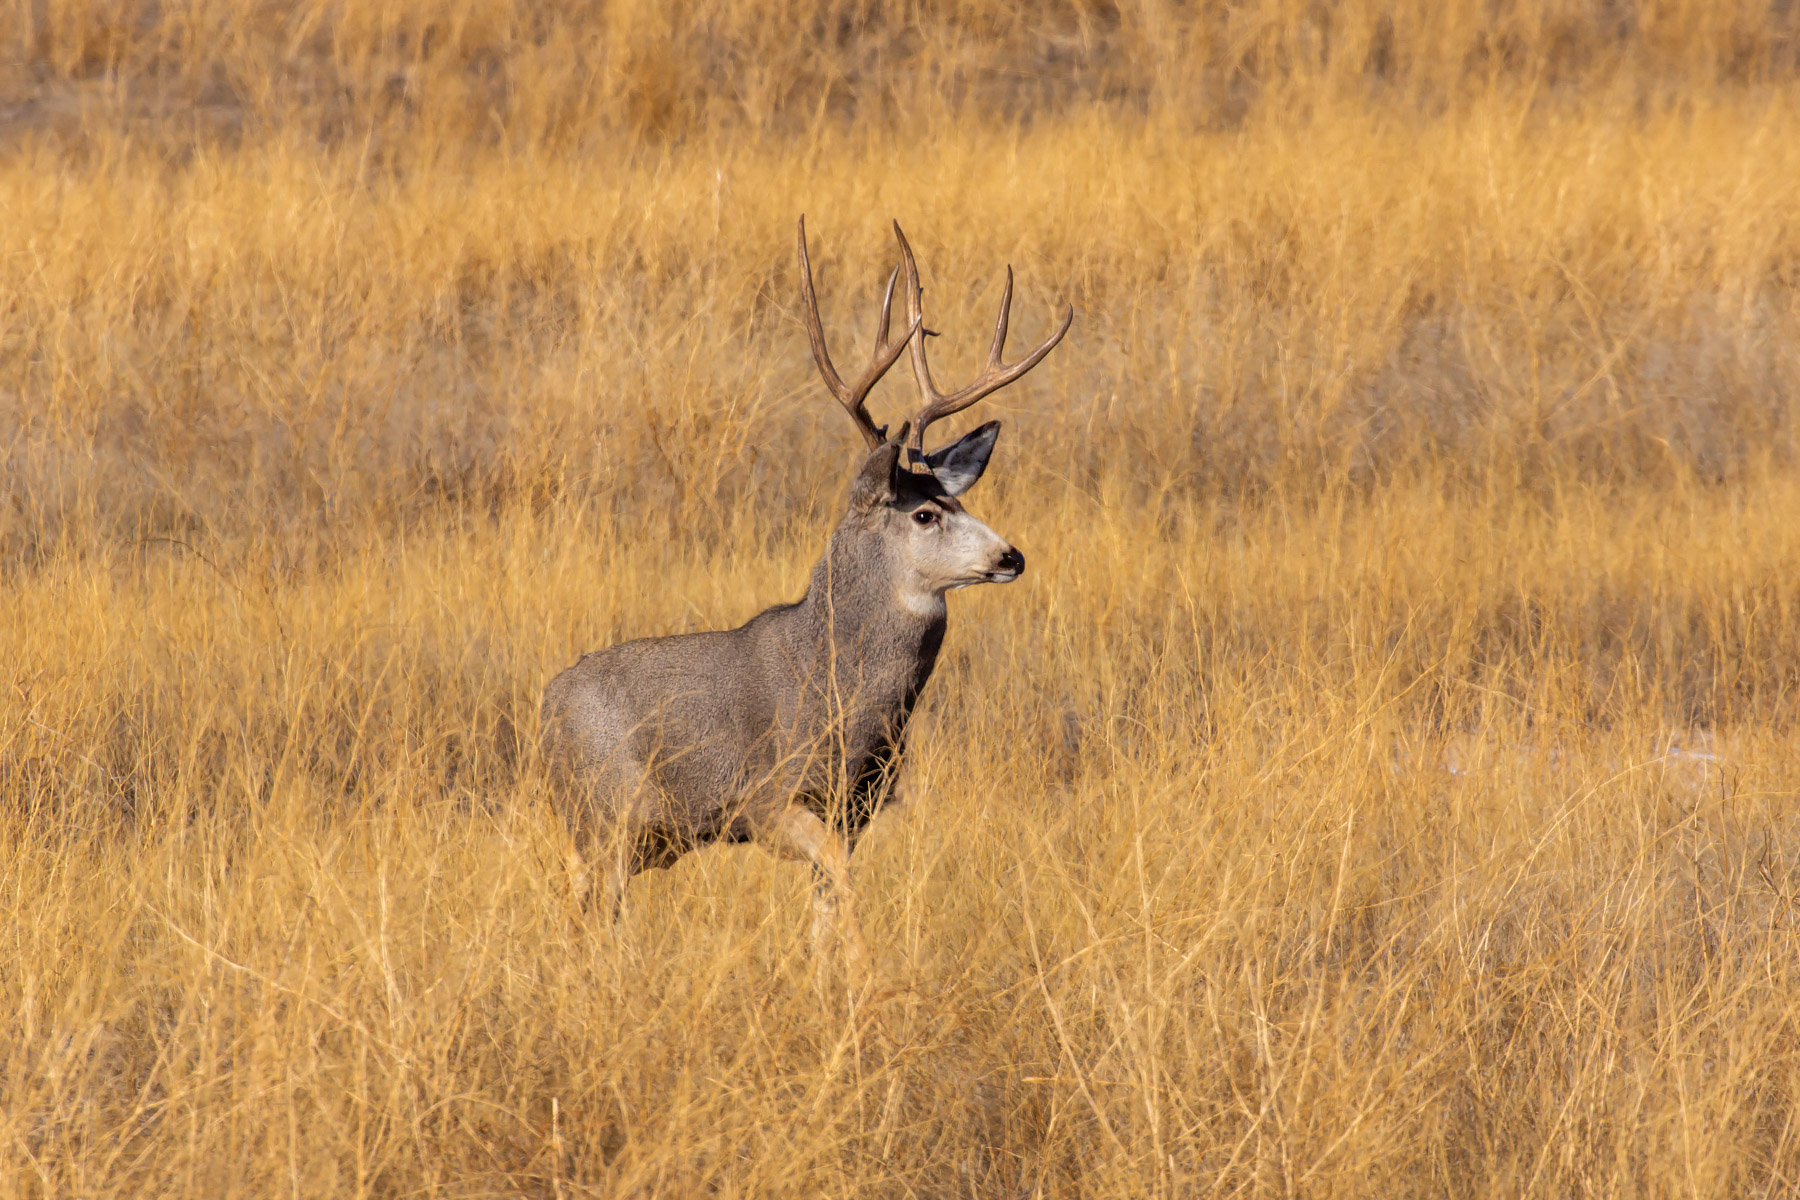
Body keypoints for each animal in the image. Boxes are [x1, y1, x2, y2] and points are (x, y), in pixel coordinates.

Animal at [539, 218, 1071, 983]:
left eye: (960, 500)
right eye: (925, 514)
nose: (1011, 556)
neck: (837, 688)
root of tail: (545, 707)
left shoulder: (857, 809)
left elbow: (826, 900)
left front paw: (829, 979)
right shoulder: (765, 799)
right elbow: (840, 886)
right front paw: (867, 978)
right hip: (605, 813)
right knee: (589, 909)